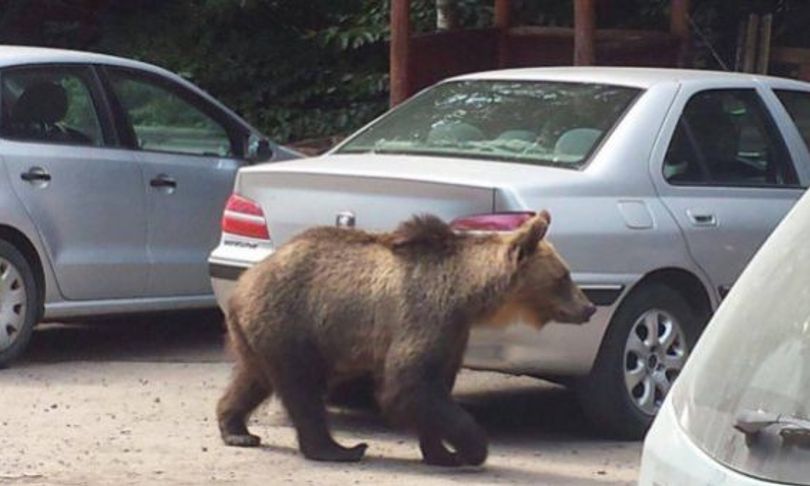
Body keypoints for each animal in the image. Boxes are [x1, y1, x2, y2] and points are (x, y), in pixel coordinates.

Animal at [215, 212, 592, 468]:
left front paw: (441, 452)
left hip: (262, 334)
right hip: (294, 323)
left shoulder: (454, 332)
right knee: (302, 388)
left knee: (254, 378)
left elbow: (433, 387)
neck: (468, 294)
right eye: (564, 276)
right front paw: (471, 448)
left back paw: (236, 428)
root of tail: (248, 278)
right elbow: (409, 384)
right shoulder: (425, 315)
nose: (587, 307)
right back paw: (339, 449)